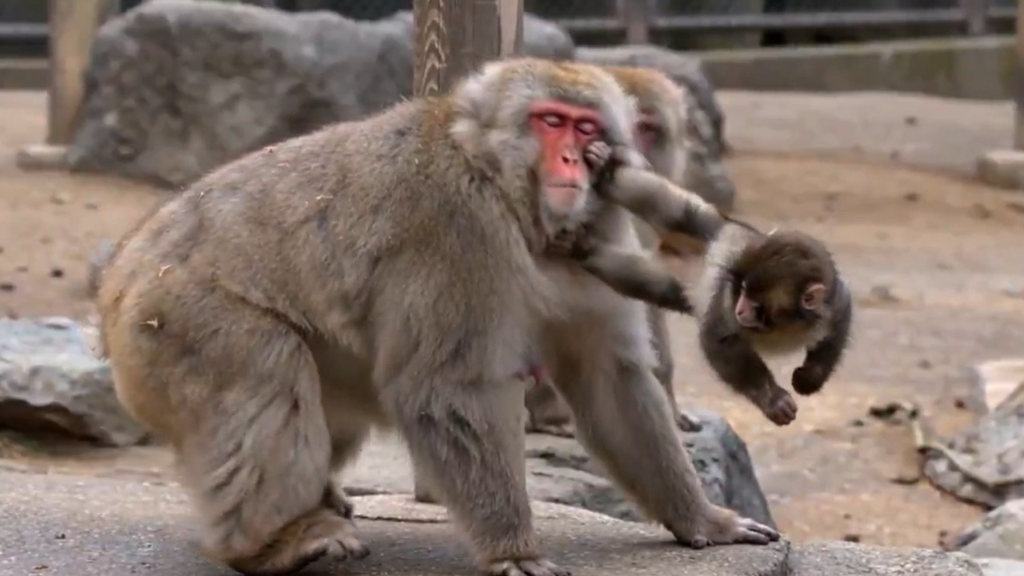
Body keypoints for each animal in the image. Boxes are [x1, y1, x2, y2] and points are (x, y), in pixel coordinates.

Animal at [96, 57, 778, 576]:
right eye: (550, 121)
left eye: (586, 128)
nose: (573, 161)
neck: (507, 192)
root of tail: (118, 278)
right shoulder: (456, 230)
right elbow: (449, 389)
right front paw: (511, 549)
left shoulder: (600, 230)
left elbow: (610, 379)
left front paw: (701, 519)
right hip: (175, 320)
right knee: (268, 376)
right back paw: (266, 545)